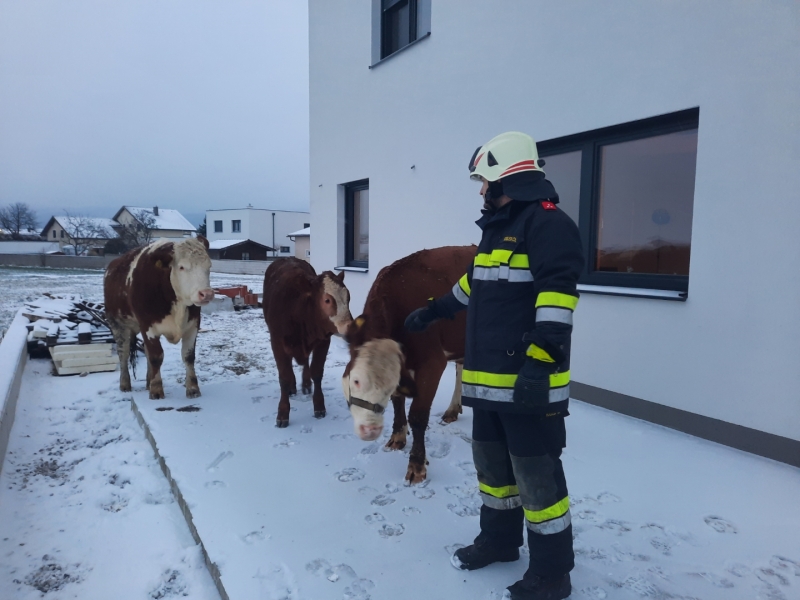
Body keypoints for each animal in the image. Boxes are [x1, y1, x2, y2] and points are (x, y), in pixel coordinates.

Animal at [104, 237, 214, 400]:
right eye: (181, 267)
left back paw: (148, 381)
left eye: (209, 266)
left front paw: (193, 388)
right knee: (123, 353)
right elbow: (156, 356)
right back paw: (125, 384)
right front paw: (156, 390)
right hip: (117, 325)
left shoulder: (193, 325)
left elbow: (188, 356)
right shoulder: (148, 326)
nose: (206, 294)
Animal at [262, 258, 354, 426]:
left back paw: (305, 384)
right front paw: (283, 413)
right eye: (327, 300)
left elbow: (316, 372)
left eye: (348, 297)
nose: (350, 327)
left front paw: (319, 405)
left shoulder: (324, 340)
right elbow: (283, 377)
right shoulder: (277, 342)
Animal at [342, 244, 472, 482]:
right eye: (353, 381)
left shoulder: (432, 363)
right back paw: (452, 409)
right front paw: (397, 436)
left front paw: (417, 465)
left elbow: (418, 416)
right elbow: (397, 401)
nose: (368, 430)